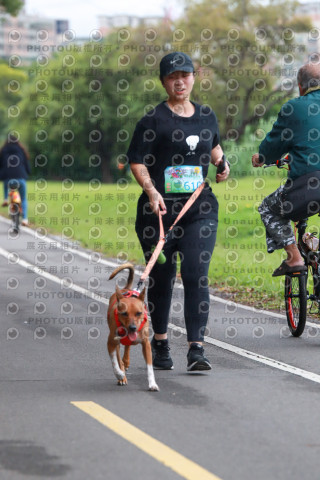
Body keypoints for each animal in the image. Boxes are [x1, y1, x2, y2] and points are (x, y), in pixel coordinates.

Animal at [107, 264, 158, 392]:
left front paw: (152, 383)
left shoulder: (146, 344)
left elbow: (150, 366)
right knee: (119, 357)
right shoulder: (111, 343)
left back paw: (126, 360)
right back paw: (122, 373)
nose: (133, 327)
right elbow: (115, 362)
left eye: (139, 313)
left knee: (127, 347)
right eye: (124, 313)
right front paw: (120, 375)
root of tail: (125, 289)